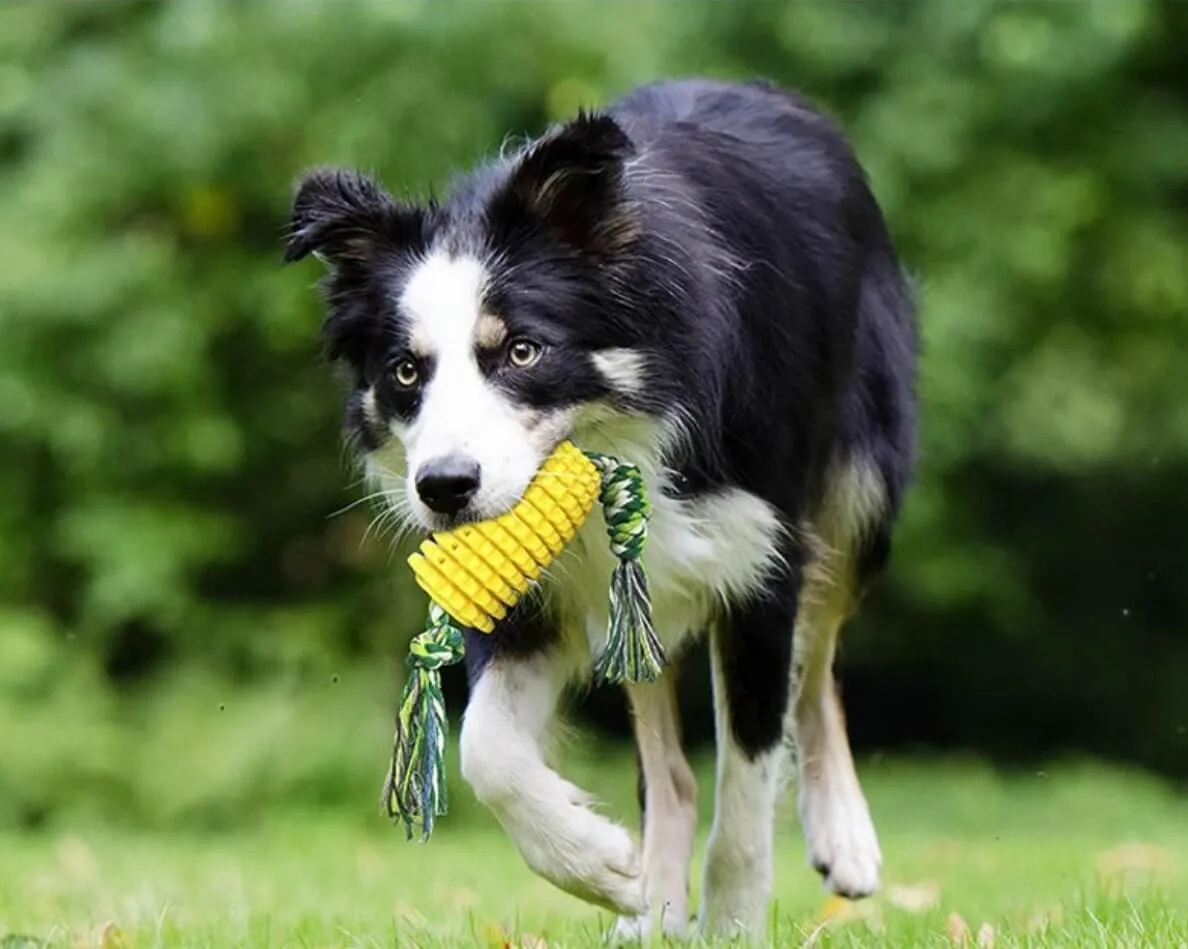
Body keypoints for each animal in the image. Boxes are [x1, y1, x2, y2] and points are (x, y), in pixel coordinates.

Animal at [285, 77, 917, 940]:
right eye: (406, 371)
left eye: (522, 351)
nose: (444, 488)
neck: (619, 430)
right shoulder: (531, 590)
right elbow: (487, 749)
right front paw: (600, 865)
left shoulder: (762, 561)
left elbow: (748, 786)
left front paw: (733, 924)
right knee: (673, 768)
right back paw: (650, 904)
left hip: (859, 489)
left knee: (817, 663)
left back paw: (843, 838)